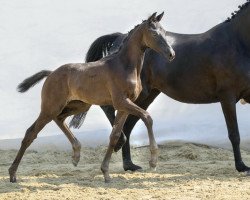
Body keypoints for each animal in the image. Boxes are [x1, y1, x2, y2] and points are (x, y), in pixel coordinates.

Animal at [8, 12, 175, 183]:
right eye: (154, 33)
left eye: (164, 31)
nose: (171, 54)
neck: (124, 66)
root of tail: (51, 73)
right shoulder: (121, 101)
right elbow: (147, 117)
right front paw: (153, 161)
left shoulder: (124, 106)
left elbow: (115, 135)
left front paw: (106, 173)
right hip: (50, 107)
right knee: (31, 133)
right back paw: (12, 174)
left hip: (78, 105)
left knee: (59, 119)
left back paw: (76, 155)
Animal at [71, 0, 250, 173]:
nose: (171, 54)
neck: (236, 43)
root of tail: (120, 38)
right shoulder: (227, 96)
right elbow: (234, 134)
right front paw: (241, 167)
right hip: (133, 95)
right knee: (109, 109)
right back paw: (121, 144)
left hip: (145, 96)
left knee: (127, 125)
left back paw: (129, 164)